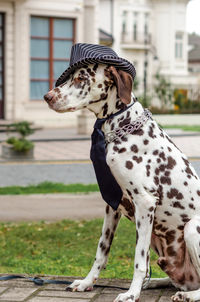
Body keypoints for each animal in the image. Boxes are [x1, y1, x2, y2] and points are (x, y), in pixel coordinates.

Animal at [44, 63, 200, 302]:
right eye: (70, 76)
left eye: (81, 78)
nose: (47, 97)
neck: (121, 128)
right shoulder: (112, 204)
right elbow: (102, 250)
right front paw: (87, 282)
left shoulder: (144, 204)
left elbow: (139, 259)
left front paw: (131, 294)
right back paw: (155, 283)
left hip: (192, 227)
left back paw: (188, 295)